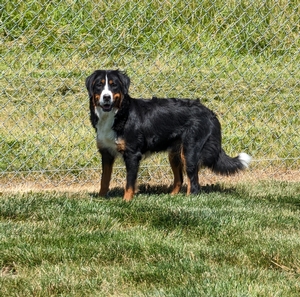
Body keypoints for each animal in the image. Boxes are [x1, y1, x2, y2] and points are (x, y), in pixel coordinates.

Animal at [85, 69, 251, 201]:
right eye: (99, 85)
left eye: (114, 85)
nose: (106, 97)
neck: (117, 115)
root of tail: (209, 112)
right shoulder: (106, 153)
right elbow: (104, 179)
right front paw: (100, 199)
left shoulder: (132, 154)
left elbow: (129, 183)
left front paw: (126, 201)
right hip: (175, 154)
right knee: (180, 180)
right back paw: (171, 198)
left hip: (190, 151)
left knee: (194, 183)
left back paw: (188, 201)